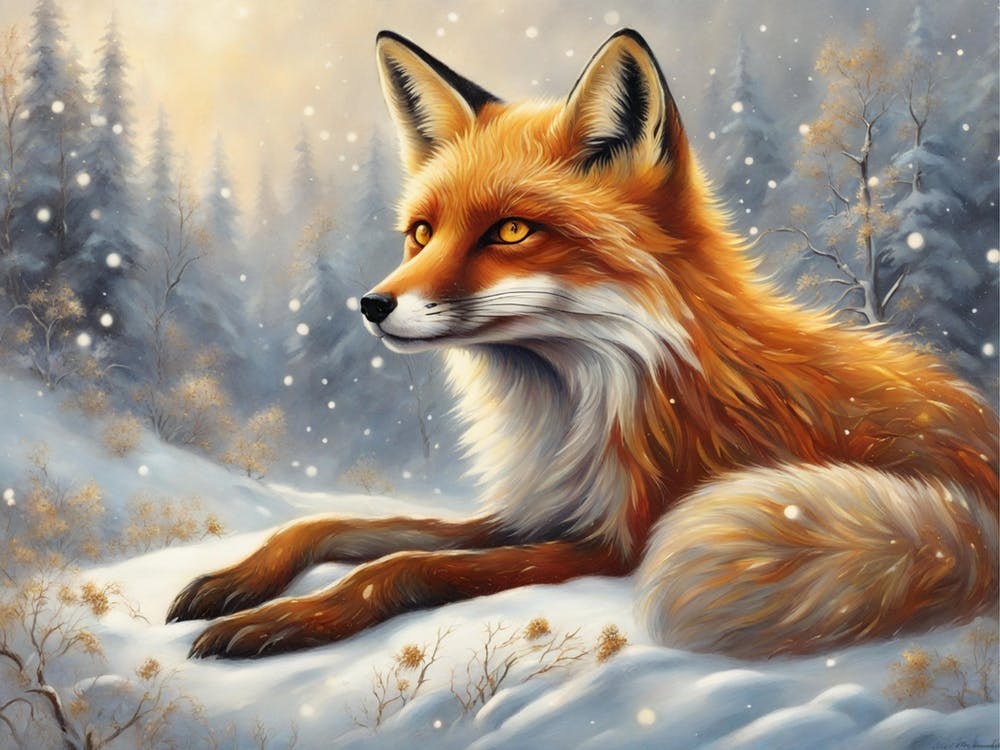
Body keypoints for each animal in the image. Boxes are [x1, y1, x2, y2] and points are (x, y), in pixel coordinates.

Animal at [168, 29, 998, 660]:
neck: (579, 402)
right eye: (422, 233)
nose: (372, 306)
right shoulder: (537, 508)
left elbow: (402, 564)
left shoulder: (615, 542)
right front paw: (235, 580)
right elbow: (332, 525)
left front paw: (284, 620)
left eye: (510, 231)